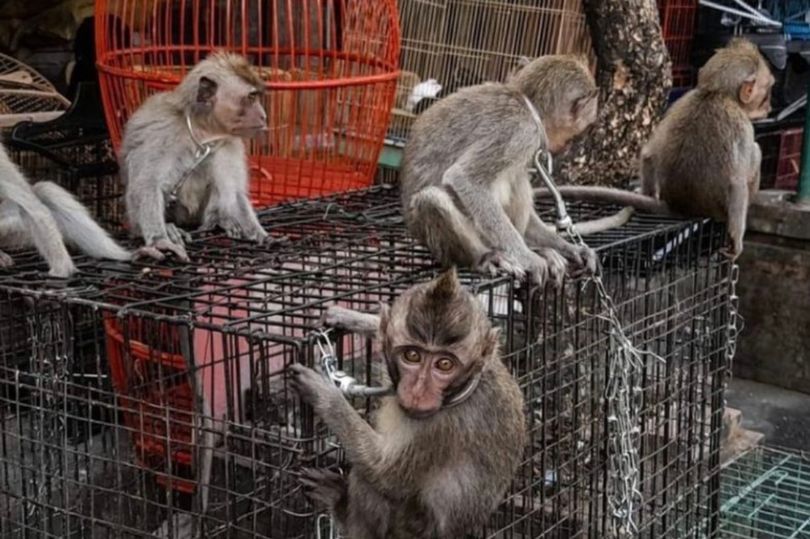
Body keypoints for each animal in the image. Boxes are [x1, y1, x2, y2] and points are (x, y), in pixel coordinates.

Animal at [120, 51, 272, 262]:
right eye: (251, 97)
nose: (263, 116)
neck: (203, 131)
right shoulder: (163, 132)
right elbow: (147, 185)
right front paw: (160, 240)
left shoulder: (229, 142)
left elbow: (233, 191)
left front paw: (256, 231)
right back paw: (170, 228)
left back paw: (220, 220)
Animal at [288, 270, 524, 539]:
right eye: (412, 356)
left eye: (445, 364)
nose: (418, 391)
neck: (462, 391)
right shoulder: (491, 361)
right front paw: (352, 318)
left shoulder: (438, 428)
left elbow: (383, 472)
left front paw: (324, 394)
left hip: (407, 529)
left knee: (368, 479)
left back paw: (342, 508)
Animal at [400, 55, 600, 288]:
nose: (568, 143)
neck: (527, 104)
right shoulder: (521, 132)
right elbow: (464, 179)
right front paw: (528, 257)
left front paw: (569, 248)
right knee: (431, 199)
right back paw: (483, 257)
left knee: (518, 179)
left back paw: (539, 249)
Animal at [536, 37, 772, 260]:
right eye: (765, 95)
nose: (769, 107)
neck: (714, 93)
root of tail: (683, 206)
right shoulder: (741, 125)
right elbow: (736, 184)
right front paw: (736, 242)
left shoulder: (680, 101)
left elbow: (649, 154)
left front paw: (648, 195)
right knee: (756, 153)